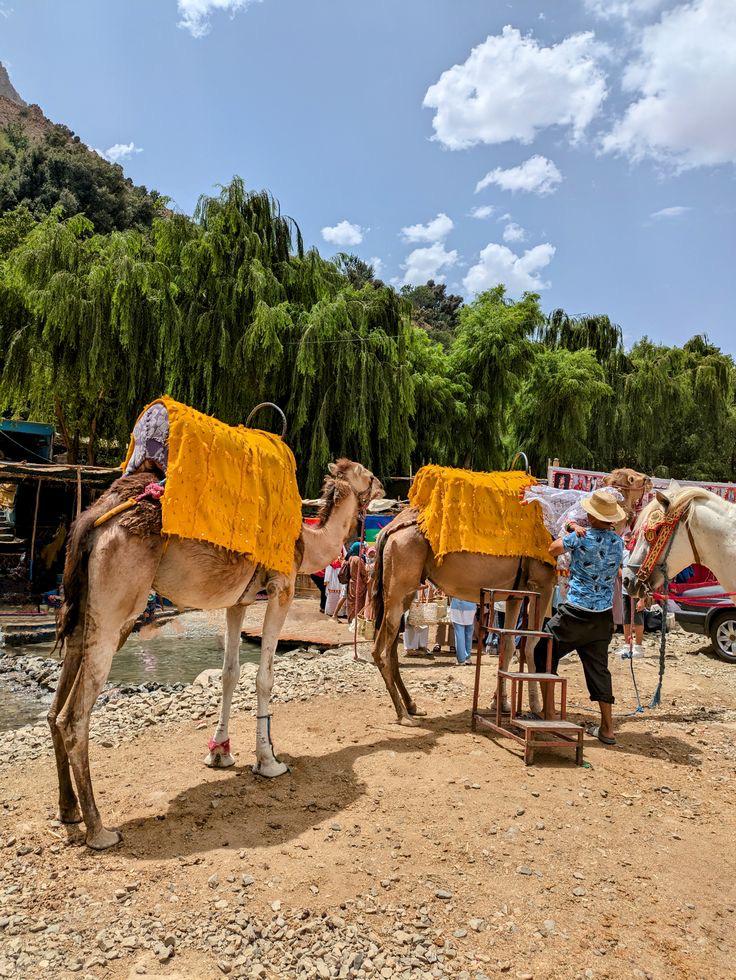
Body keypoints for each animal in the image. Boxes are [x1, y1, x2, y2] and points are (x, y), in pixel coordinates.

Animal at [49, 460, 382, 848]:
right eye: (366, 474)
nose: (382, 486)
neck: (307, 541)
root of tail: (94, 519)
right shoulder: (281, 588)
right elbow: (264, 677)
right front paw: (268, 761)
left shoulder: (238, 602)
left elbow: (229, 674)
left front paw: (220, 752)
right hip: (118, 604)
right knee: (74, 718)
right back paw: (99, 830)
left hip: (85, 607)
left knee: (55, 707)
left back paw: (68, 811)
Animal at [370, 510, 556, 724]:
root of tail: (387, 530)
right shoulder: (542, 583)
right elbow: (532, 643)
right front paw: (536, 706)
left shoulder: (516, 593)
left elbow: (509, 646)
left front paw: (501, 703)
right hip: (400, 579)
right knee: (381, 650)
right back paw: (403, 715)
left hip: (405, 587)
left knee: (391, 648)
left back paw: (412, 706)